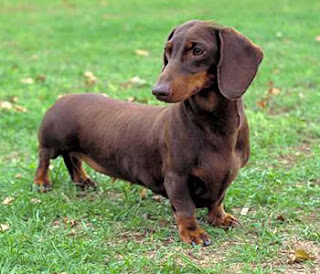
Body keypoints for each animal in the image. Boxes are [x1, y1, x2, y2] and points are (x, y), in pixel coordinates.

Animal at [35, 20, 264, 245]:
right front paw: (193, 233)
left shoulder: (227, 175)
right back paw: (42, 183)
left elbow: (218, 200)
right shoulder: (176, 177)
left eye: (197, 50)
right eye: (168, 51)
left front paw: (220, 218)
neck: (214, 127)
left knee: (72, 159)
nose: (158, 91)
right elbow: (185, 208)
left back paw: (82, 180)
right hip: (52, 142)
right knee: (44, 158)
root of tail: (62, 98)